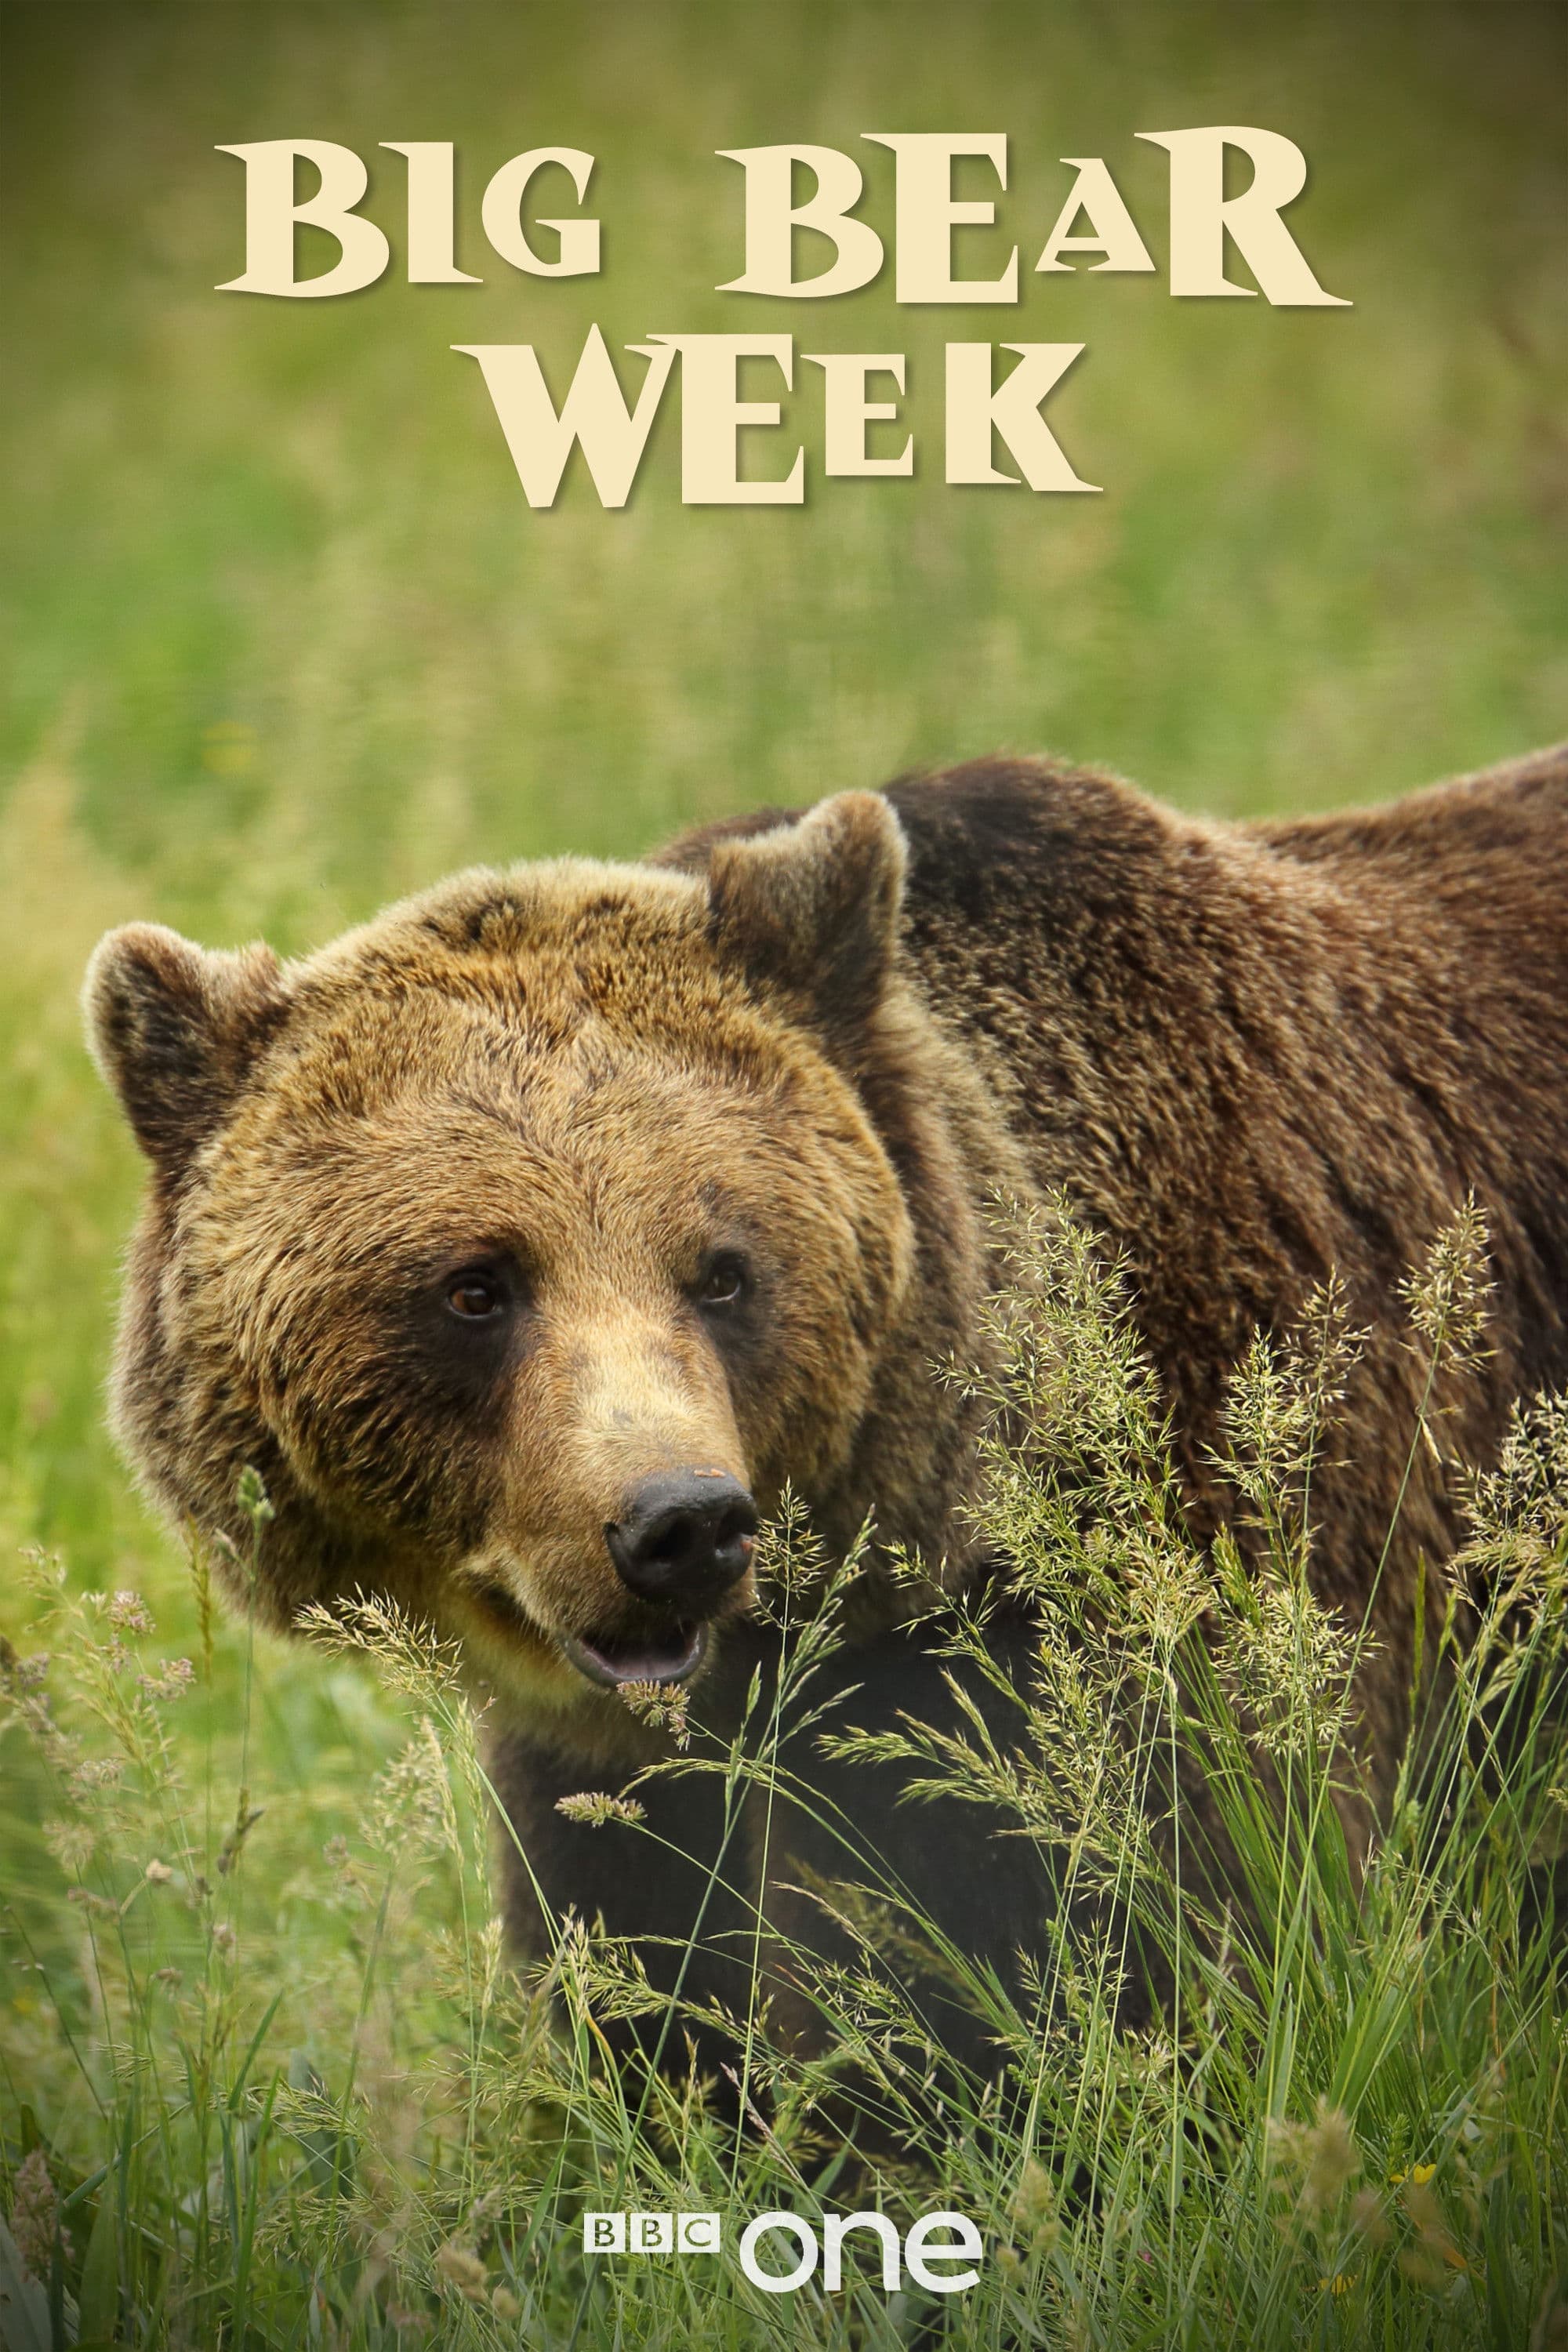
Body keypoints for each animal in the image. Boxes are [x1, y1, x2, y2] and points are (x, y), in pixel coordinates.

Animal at [83, 742, 1568, 2091]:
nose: (677, 1526)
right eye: (475, 1285)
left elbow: (1145, 1960)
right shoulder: (614, 1787)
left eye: (723, 1267)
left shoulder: (1215, 1574)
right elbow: (646, 1996)